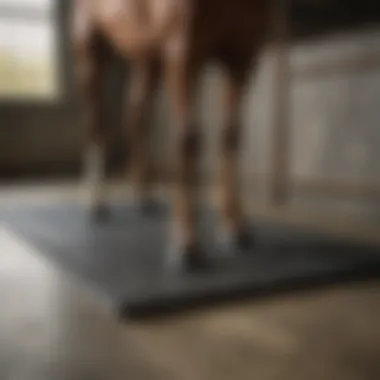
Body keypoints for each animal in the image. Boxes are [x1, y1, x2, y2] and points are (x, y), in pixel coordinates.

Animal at [71, 0, 272, 274]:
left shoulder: (241, 57)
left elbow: (231, 135)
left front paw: (235, 227)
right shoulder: (183, 52)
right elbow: (187, 138)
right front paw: (186, 244)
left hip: (148, 57)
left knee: (136, 115)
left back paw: (144, 197)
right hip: (91, 52)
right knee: (97, 121)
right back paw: (96, 204)